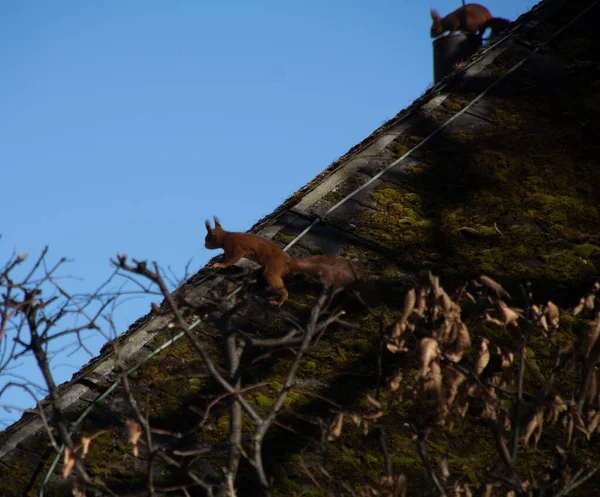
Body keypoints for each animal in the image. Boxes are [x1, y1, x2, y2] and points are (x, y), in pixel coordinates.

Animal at [204, 217, 358, 306]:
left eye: (207, 238)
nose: (204, 245)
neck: (226, 236)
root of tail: (288, 262)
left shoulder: (235, 247)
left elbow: (231, 259)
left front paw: (219, 264)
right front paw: (217, 260)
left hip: (272, 271)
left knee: (280, 286)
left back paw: (279, 300)